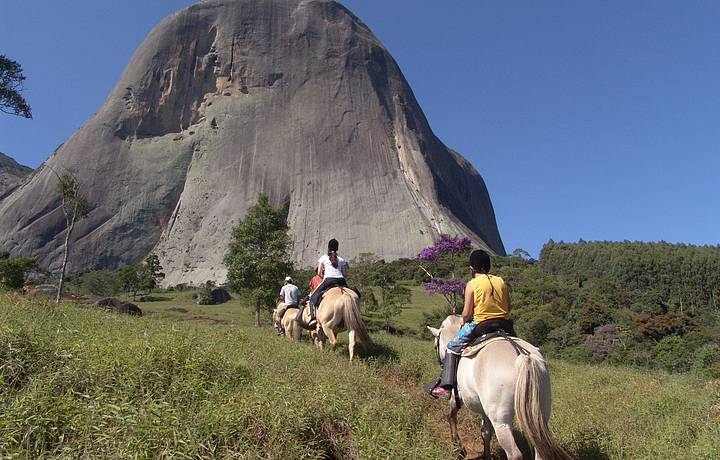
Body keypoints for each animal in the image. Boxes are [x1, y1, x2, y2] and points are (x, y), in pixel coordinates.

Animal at [424, 316, 572, 460]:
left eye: (435, 345)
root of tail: (524, 357)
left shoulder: (457, 395)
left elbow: (451, 416)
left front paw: (458, 450)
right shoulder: (484, 409)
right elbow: (485, 432)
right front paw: (486, 455)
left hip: (501, 421)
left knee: (514, 454)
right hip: (540, 414)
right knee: (539, 451)